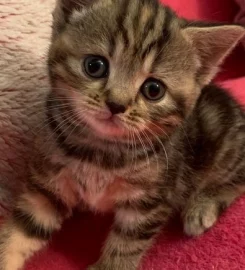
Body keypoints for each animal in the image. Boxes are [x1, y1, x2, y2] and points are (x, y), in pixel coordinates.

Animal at [0, 0, 245, 270]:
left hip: (223, 147)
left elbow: (127, 246)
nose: (116, 104)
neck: (101, 150)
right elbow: (20, 231)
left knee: (236, 177)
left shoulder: (149, 203)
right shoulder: (48, 186)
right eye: (94, 66)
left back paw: (202, 208)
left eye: (154, 89)